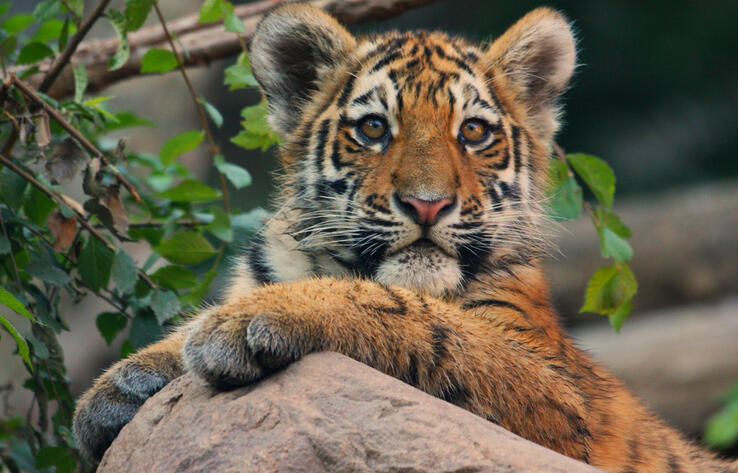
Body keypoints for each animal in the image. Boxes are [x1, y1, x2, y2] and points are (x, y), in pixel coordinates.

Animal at [72, 5, 737, 472]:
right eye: (373, 129)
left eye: (473, 132)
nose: (427, 204)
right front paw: (117, 388)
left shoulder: (555, 390)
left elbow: (409, 311)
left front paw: (248, 323)